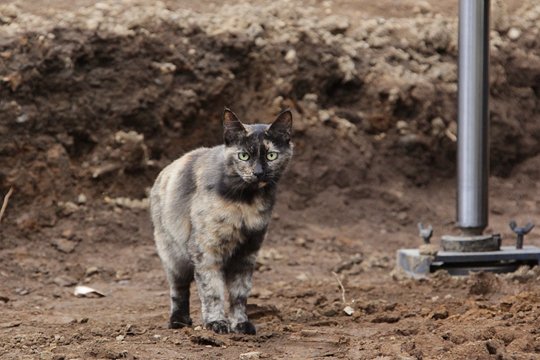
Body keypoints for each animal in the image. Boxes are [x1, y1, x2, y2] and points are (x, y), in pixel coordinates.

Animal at [150, 107, 294, 334]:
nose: (258, 172)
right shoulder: (206, 251)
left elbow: (239, 294)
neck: (246, 203)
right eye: (243, 155)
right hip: (173, 254)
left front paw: (240, 323)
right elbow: (212, 291)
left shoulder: (247, 253)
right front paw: (216, 322)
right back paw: (179, 320)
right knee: (179, 288)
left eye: (272, 155)